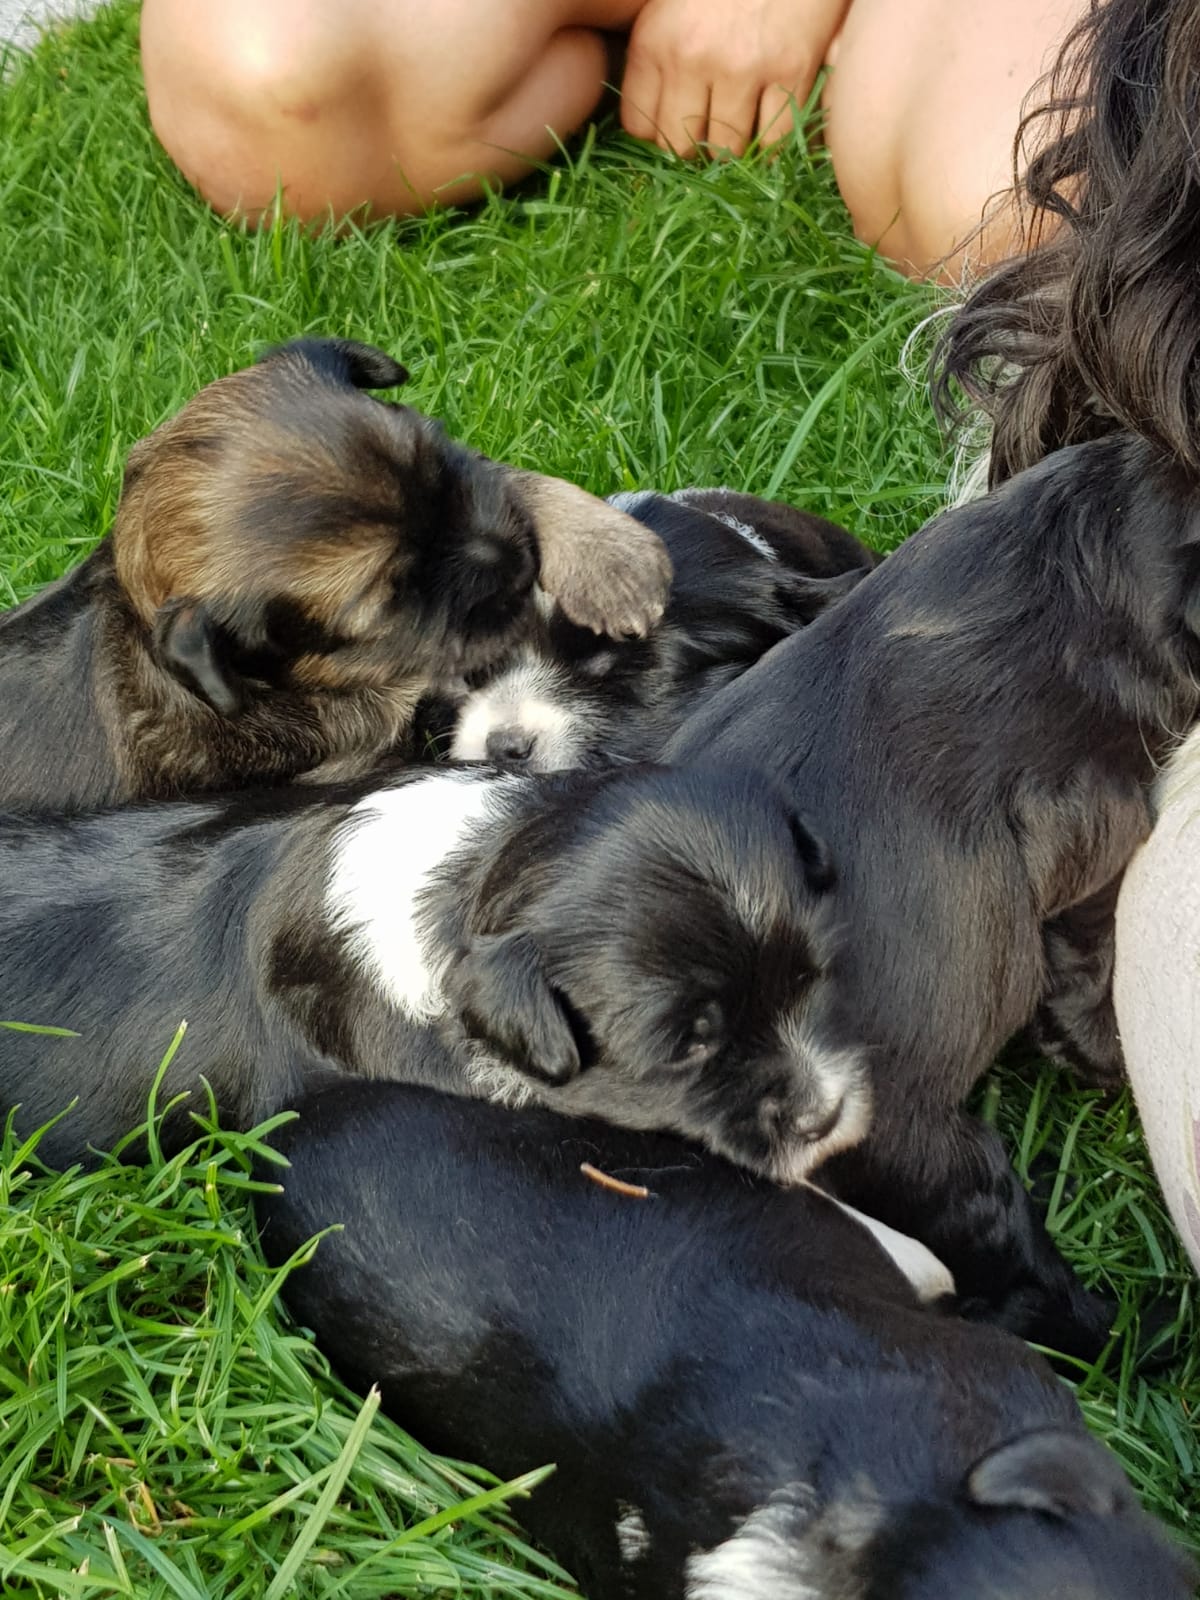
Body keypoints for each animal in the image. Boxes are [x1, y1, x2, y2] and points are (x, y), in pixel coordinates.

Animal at [666, 430, 1200, 1362]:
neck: (1074, 556)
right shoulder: (1093, 813)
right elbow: (1087, 934)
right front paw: (1102, 1052)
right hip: (929, 1158)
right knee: (1026, 1283)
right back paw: (1146, 1333)